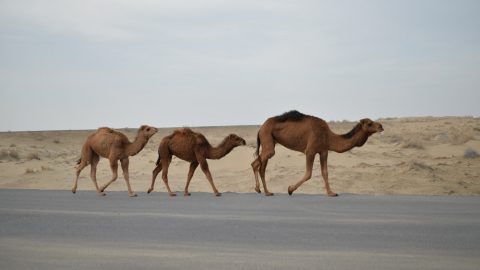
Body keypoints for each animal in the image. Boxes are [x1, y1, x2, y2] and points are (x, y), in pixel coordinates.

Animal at [251, 109, 382, 196]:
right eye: (369, 123)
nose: (381, 126)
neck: (328, 136)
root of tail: (260, 128)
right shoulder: (310, 151)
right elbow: (309, 173)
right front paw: (290, 189)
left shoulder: (324, 151)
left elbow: (325, 172)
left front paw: (331, 193)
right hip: (267, 137)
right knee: (255, 163)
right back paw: (258, 189)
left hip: (269, 141)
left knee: (262, 167)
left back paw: (267, 192)